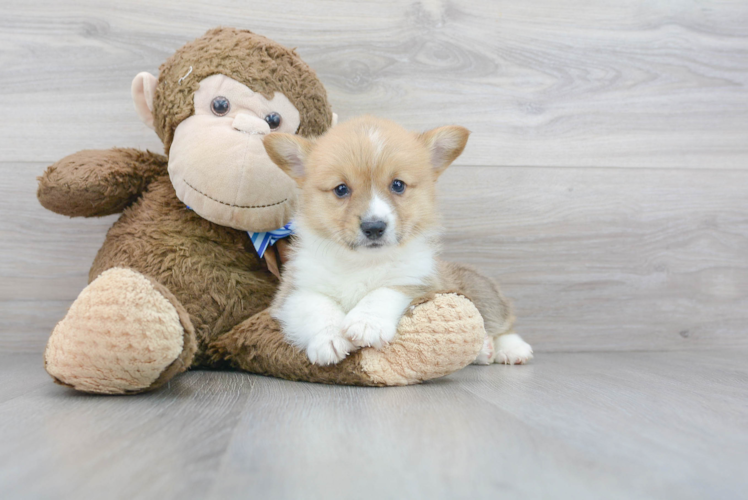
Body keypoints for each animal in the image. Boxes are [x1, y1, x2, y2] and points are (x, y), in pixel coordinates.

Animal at [262, 117, 532, 368]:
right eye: (341, 189)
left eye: (398, 185)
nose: (374, 227)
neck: (361, 263)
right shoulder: (293, 291)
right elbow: (317, 306)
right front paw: (329, 339)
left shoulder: (419, 281)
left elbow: (384, 291)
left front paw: (366, 323)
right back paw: (484, 350)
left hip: (481, 292)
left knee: (502, 322)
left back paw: (511, 349)